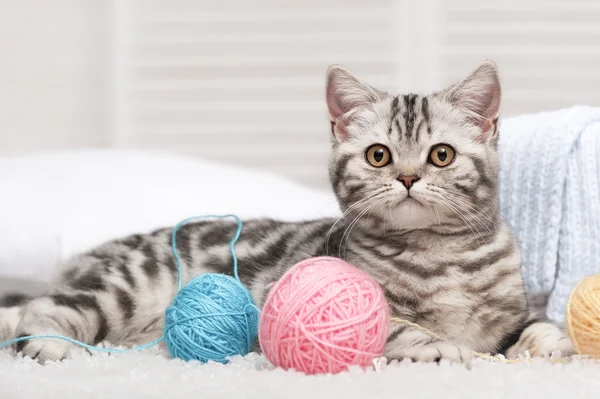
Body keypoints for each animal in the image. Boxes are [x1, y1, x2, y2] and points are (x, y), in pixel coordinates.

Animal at [0, 60, 572, 366]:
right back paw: (53, 348)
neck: (441, 255)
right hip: (121, 289)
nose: (408, 178)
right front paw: (444, 350)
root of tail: (88, 257)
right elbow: (397, 328)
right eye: (379, 155)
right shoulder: (303, 294)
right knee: (40, 309)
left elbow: (538, 326)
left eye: (441, 155)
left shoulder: (509, 313)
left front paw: (555, 343)